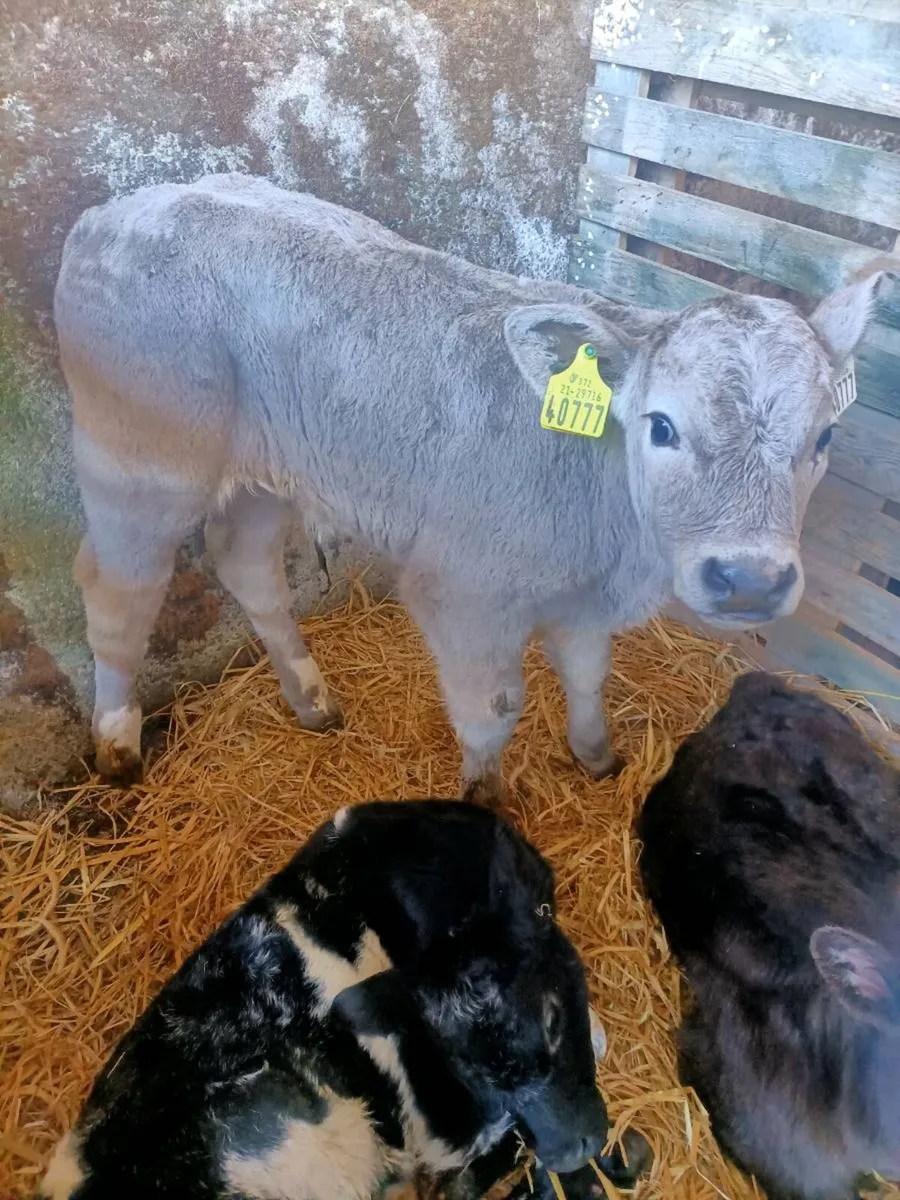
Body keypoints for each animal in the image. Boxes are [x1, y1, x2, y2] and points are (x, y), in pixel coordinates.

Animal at [54, 174, 889, 802]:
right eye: (662, 427)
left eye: (824, 438)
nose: (749, 579)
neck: (615, 540)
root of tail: (117, 209)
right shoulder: (462, 591)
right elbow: (493, 710)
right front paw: (486, 797)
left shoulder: (583, 599)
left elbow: (589, 676)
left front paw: (597, 757)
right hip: (139, 457)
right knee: (116, 589)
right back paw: (118, 743)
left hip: (268, 463)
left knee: (245, 562)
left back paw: (312, 699)